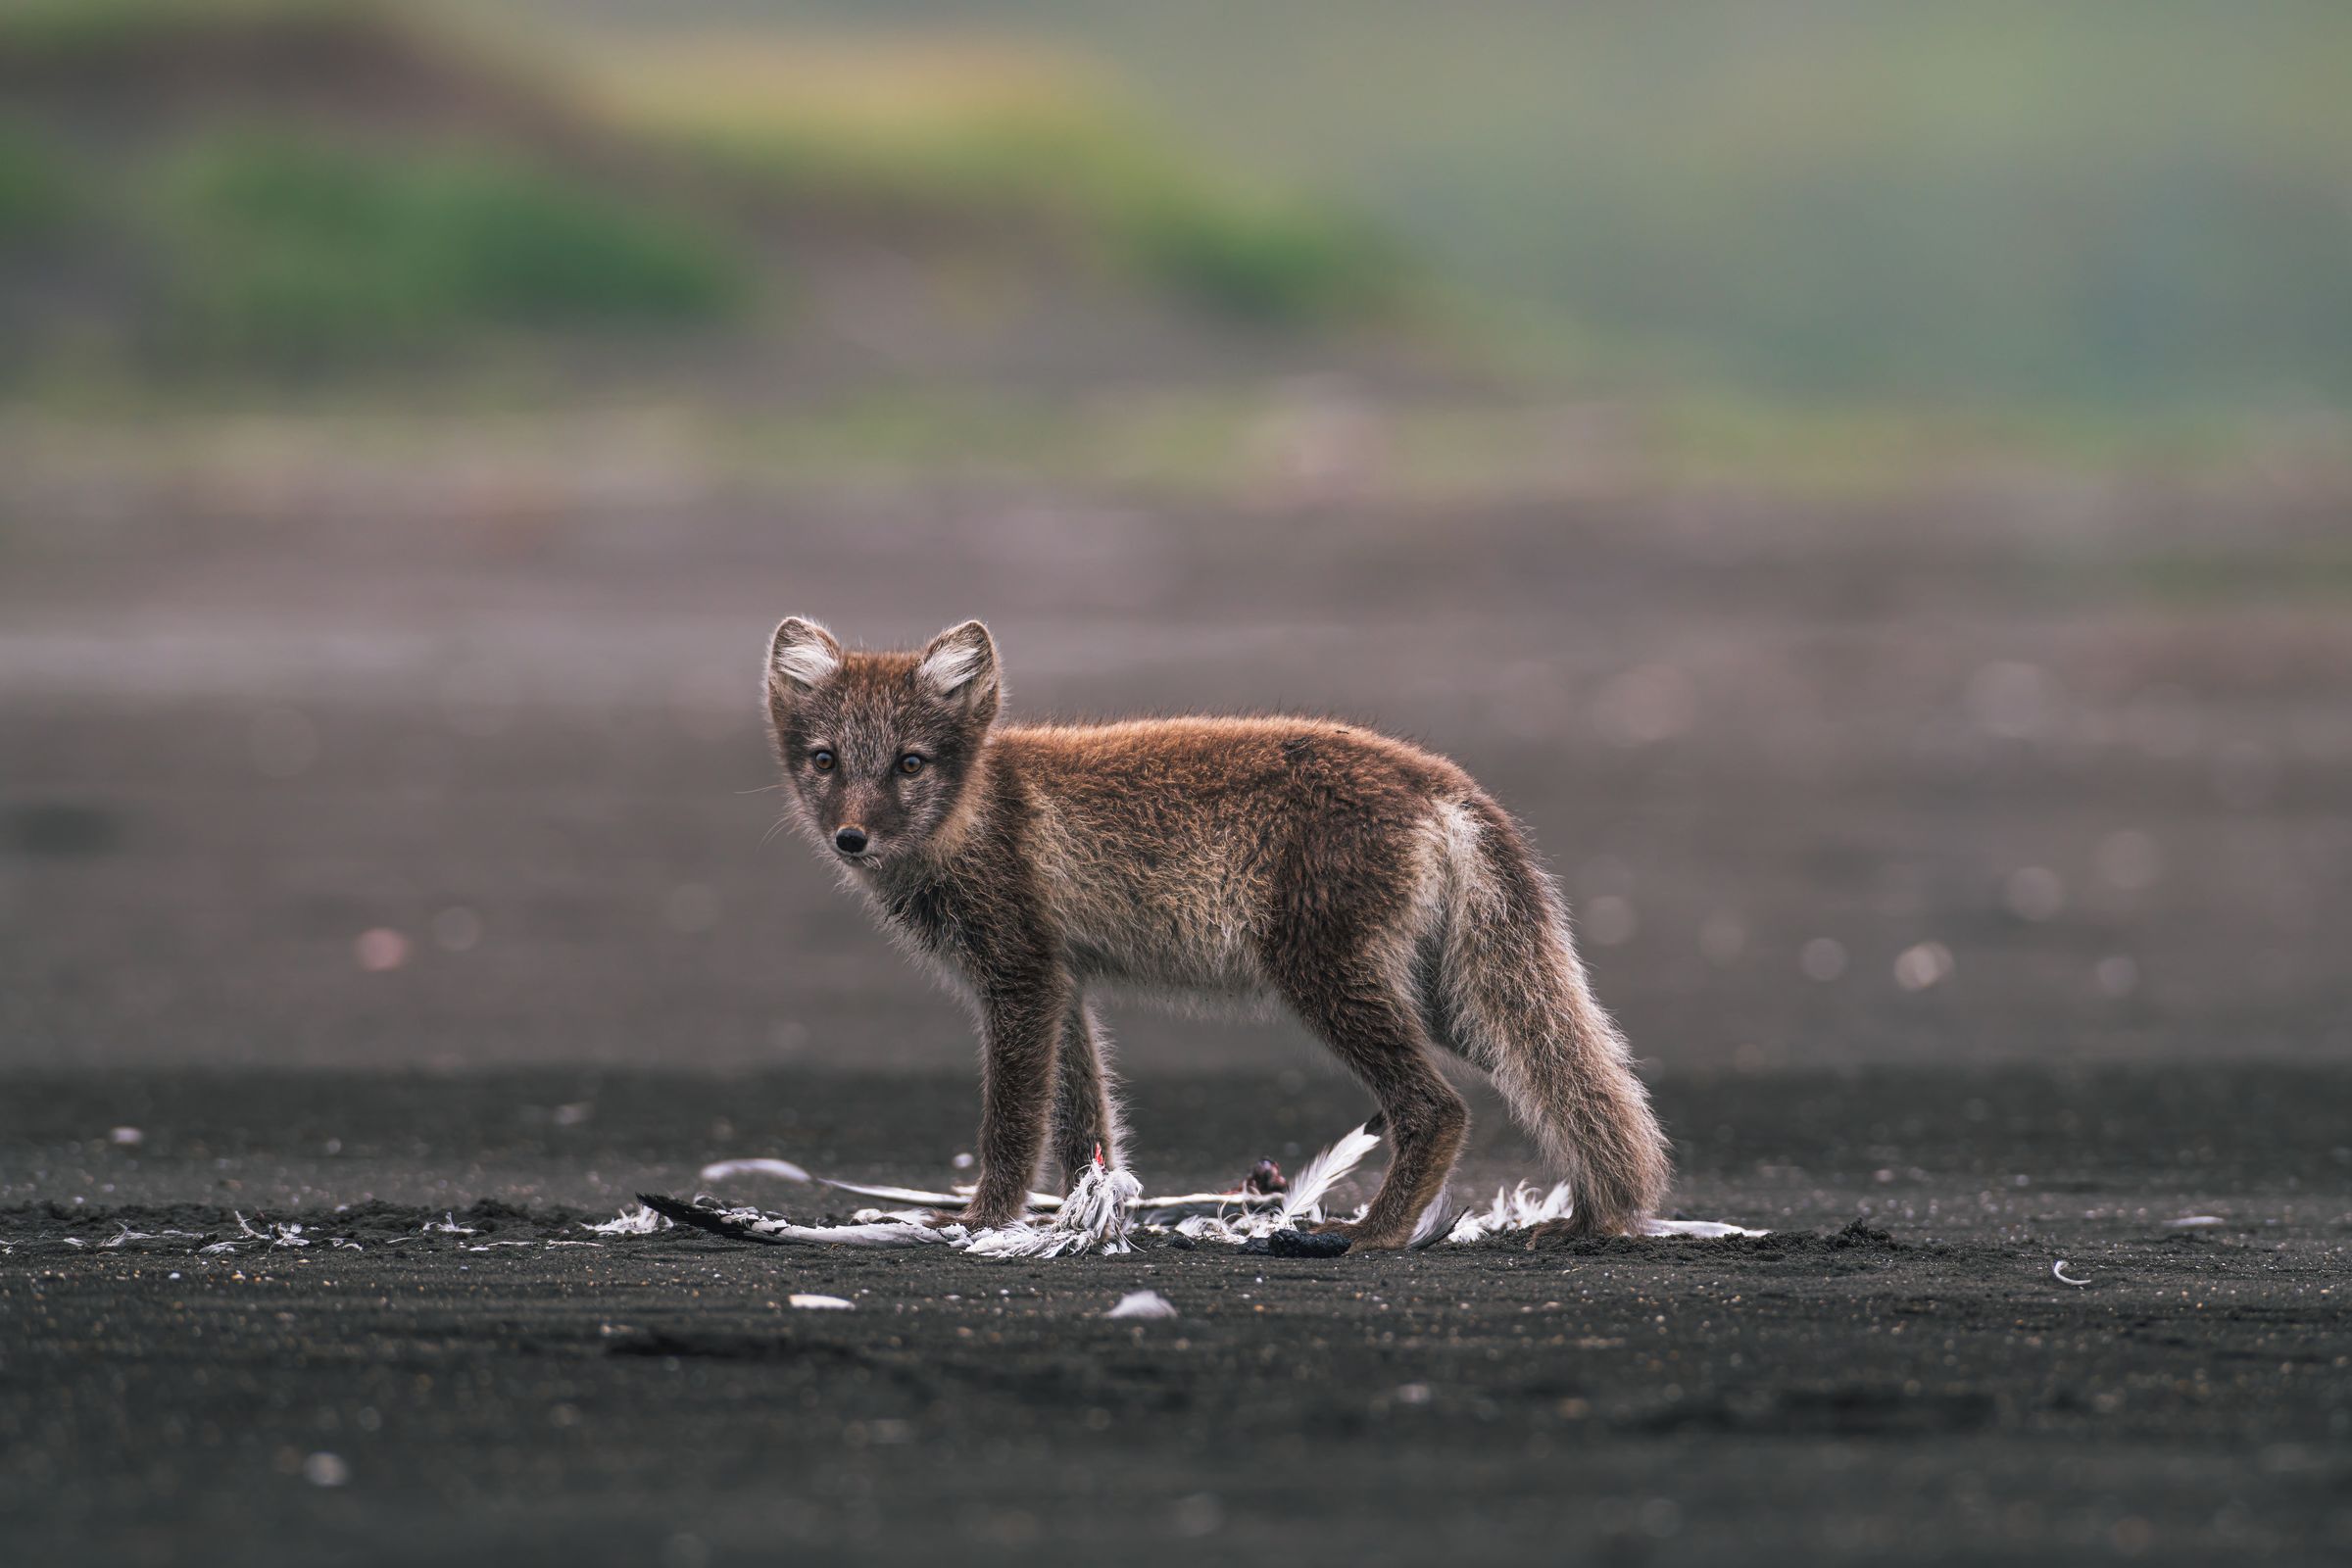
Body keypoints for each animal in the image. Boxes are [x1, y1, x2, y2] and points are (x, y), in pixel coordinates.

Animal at [763, 616, 1670, 1249]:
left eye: (910, 764)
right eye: (825, 760)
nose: (851, 839)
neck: (979, 811)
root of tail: (1438, 781)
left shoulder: (1019, 979)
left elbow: (1013, 1124)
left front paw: (983, 1221)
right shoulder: (1065, 982)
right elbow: (1087, 1127)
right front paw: (1085, 1221)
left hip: (1326, 981)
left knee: (1438, 1108)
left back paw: (1373, 1234)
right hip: (1449, 1003)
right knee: (1579, 1082)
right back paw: (1590, 1217)